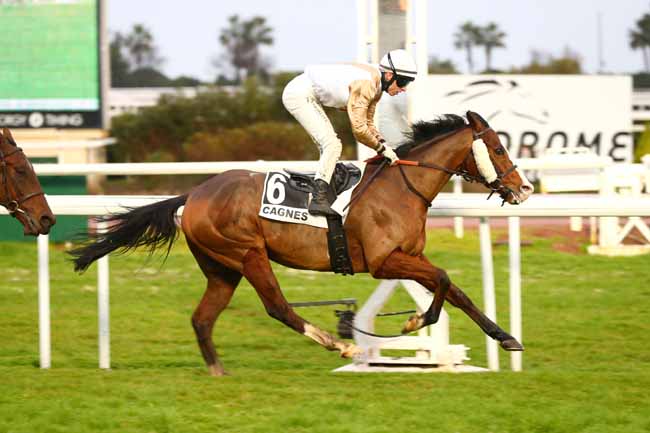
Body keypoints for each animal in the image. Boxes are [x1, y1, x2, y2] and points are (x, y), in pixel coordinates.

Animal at [69, 110, 532, 374]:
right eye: (497, 148)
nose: (523, 188)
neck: (403, 186)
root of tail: (195, 193)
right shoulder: (385, 261)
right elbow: (443, 279)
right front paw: (413, 322)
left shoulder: (409, 256)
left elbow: (457, 291)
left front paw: (506, 337)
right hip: (249, 254)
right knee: (277, 307)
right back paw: (340, 345)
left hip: (221, 269)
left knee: (202, 318)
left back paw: (218, 370)